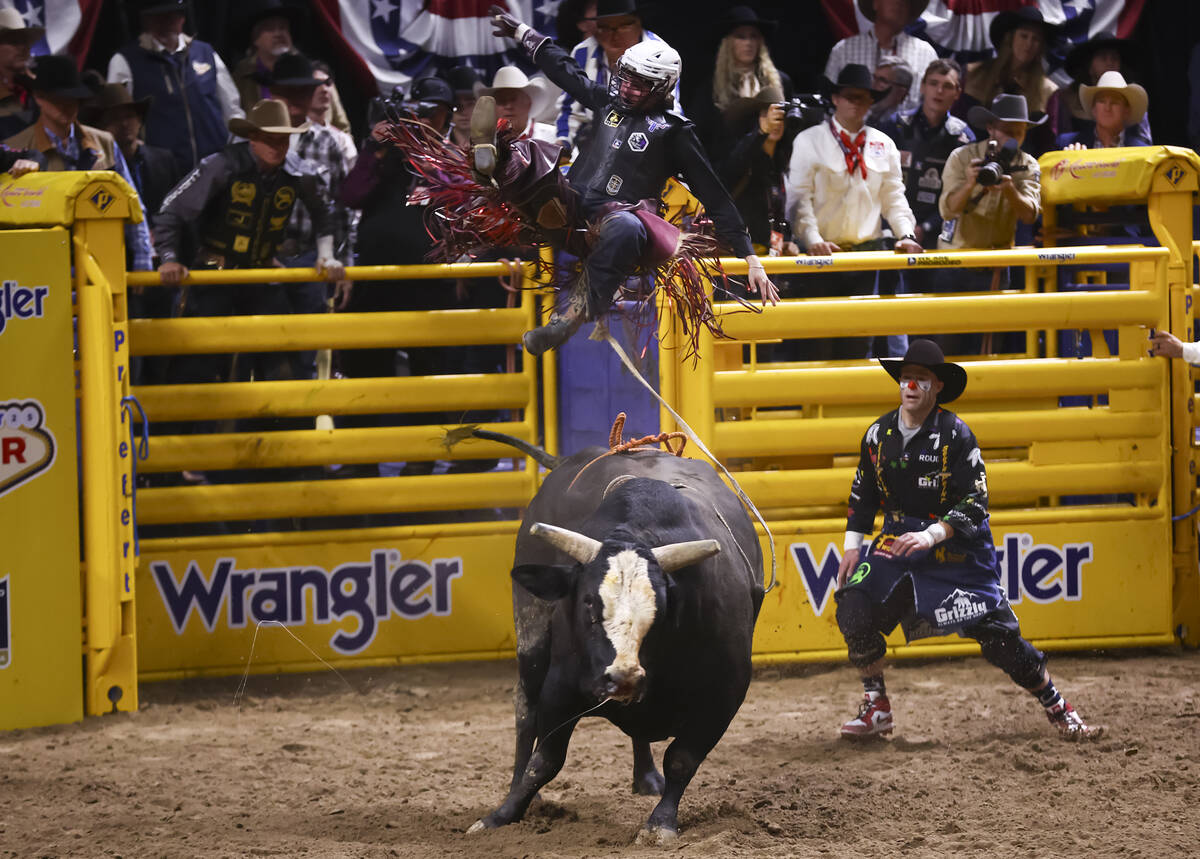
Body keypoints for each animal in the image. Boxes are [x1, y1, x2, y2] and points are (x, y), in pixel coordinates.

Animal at [466, 431, 764, 844]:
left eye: (659, 610)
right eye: (589, 604)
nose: (623, 676)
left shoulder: (726, 693)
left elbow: (682, 759)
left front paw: (660, 823)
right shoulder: (561, 684)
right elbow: (545, 760)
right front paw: (501, 816)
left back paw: (645, 778)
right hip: (532, 639)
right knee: (525, 712)